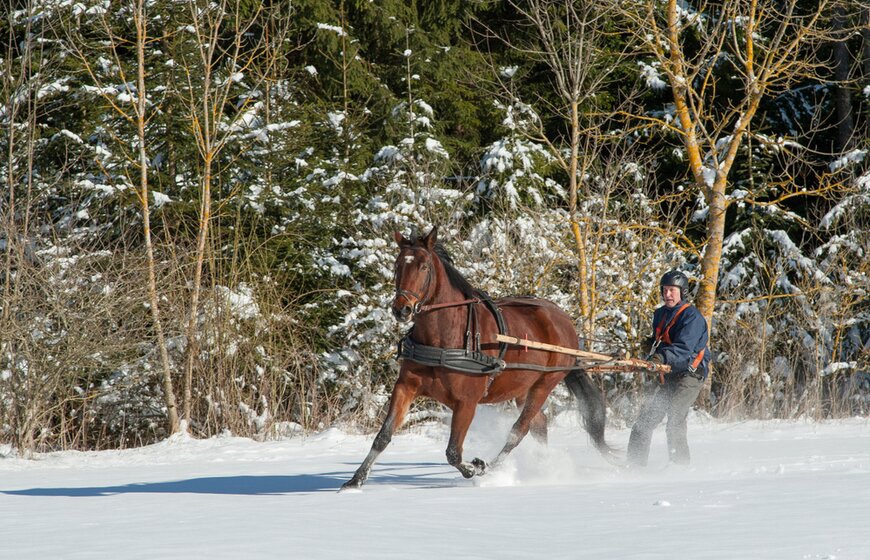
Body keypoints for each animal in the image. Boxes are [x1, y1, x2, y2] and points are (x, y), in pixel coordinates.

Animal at [341, 226, 614, 490]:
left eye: (424, 266)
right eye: (398, 265)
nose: (402, 309)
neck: (444, 338)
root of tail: (565, 321)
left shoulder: (467, 401)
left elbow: (453, 452)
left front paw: (476, 468)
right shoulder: (405, 387)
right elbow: (383, 436)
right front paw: (356, 480)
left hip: (545, 383)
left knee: (519, 430)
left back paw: (493, 467)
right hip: (523, 388)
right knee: (539, 425)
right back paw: (542, 467)